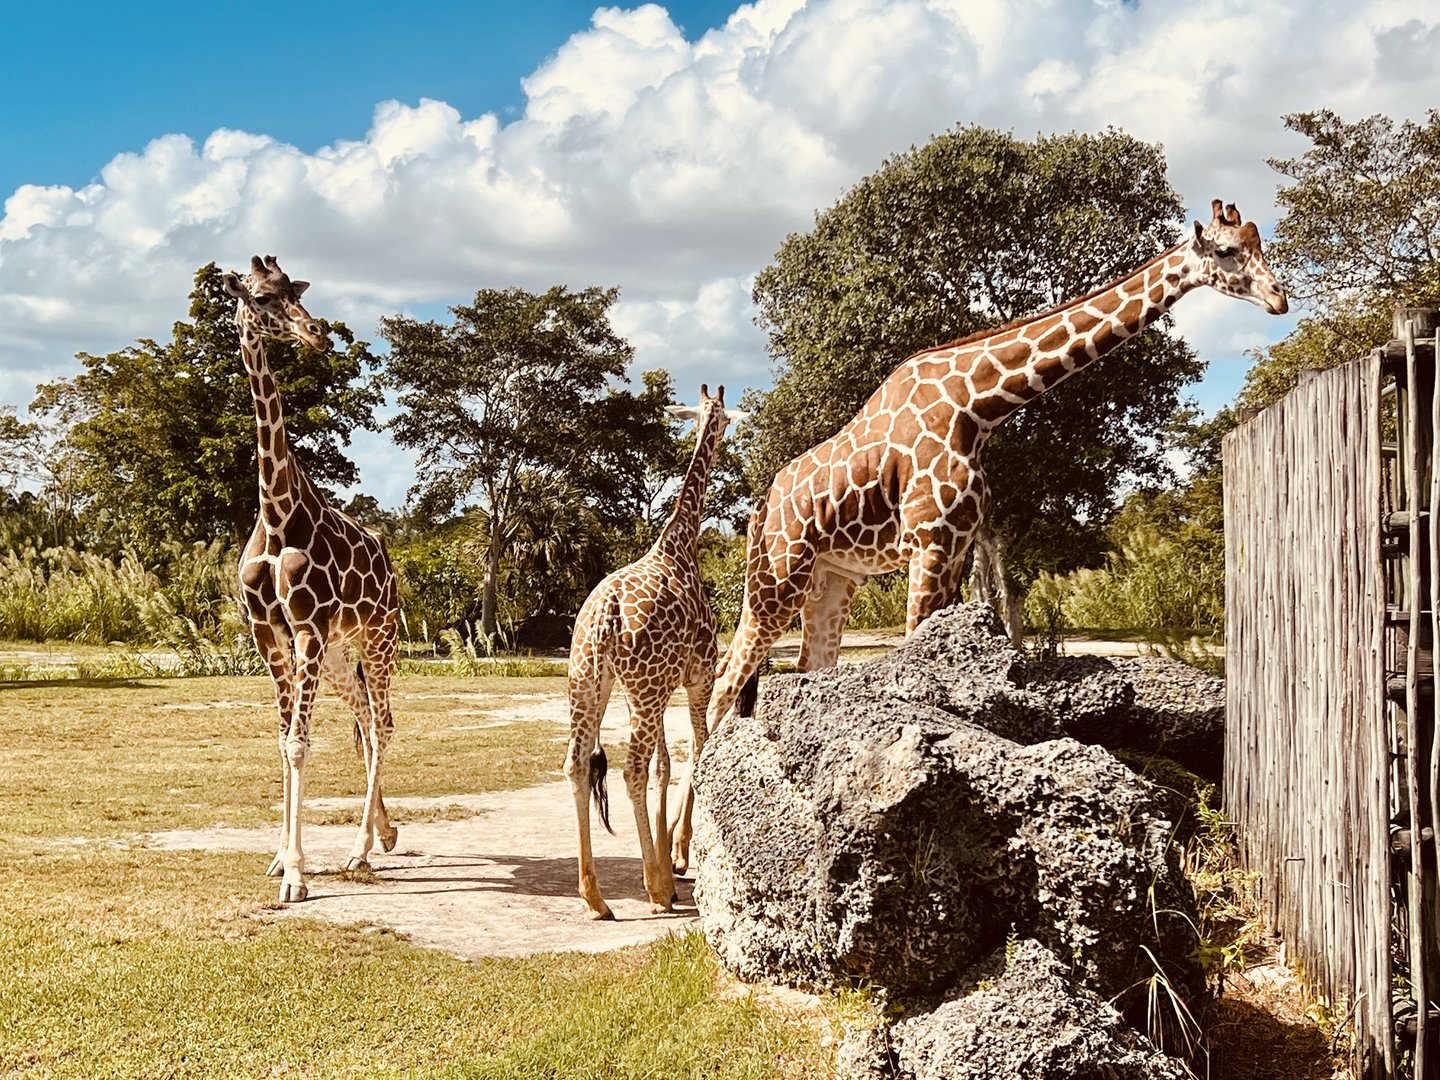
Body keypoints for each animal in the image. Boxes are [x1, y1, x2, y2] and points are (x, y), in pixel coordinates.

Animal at [221, 255, 401, 904]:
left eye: (291, 291)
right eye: (259, 298)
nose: (317, 333)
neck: (276, 514)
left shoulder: (307, 628)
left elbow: (299, 742)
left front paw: (297, 875)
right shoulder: (268, 633)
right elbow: (281, 740)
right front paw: (278, 859)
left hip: (377, 638)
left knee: (384, 724)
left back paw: (360, 850)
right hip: (343, 652)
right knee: (368, 725)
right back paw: (382, 835)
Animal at [564, 384, 743, 920]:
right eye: (720, 417)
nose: (722, 429)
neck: (681, 544)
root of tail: (605, 616)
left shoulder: (653, 686)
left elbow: (666, 765)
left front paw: (671, 860)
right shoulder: (697, 675)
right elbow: (699, 751)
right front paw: (678, 859)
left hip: (591, 684)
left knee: (578, 764)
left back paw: (596, 897)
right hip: (642, 690)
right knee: (630, 769)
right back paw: (654, 891)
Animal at [669, 200, 1288, 870]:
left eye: (1258, 242)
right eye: (1226, 251)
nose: (1279, 298)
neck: (979, 405)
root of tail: (762, 506)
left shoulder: (960, 547)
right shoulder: (930, 543)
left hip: (832, 580)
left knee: (807, 666)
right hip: (776, 578)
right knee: (723, 682)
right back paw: (679, 853)